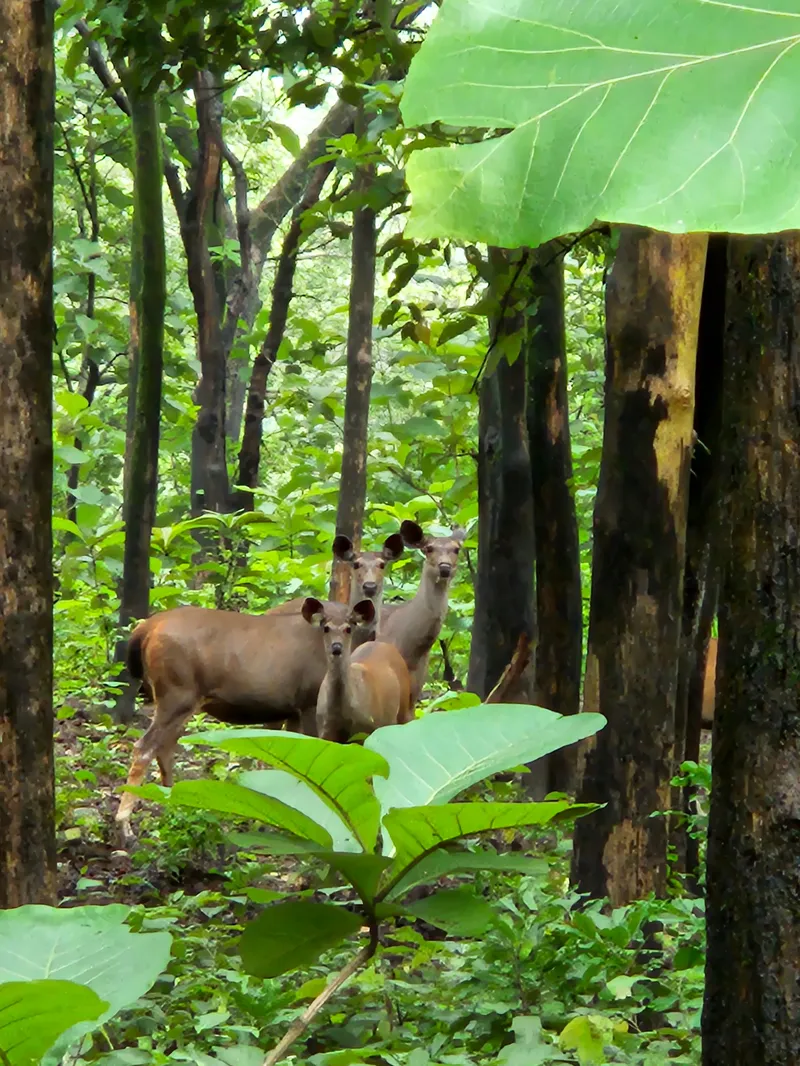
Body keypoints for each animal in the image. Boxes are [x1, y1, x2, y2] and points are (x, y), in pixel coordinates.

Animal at [300, 601, 413, 741]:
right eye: (326, 628)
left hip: (402, 711)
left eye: (348, 629)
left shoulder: (365, 730)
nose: (336, 647)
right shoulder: (325, 732)